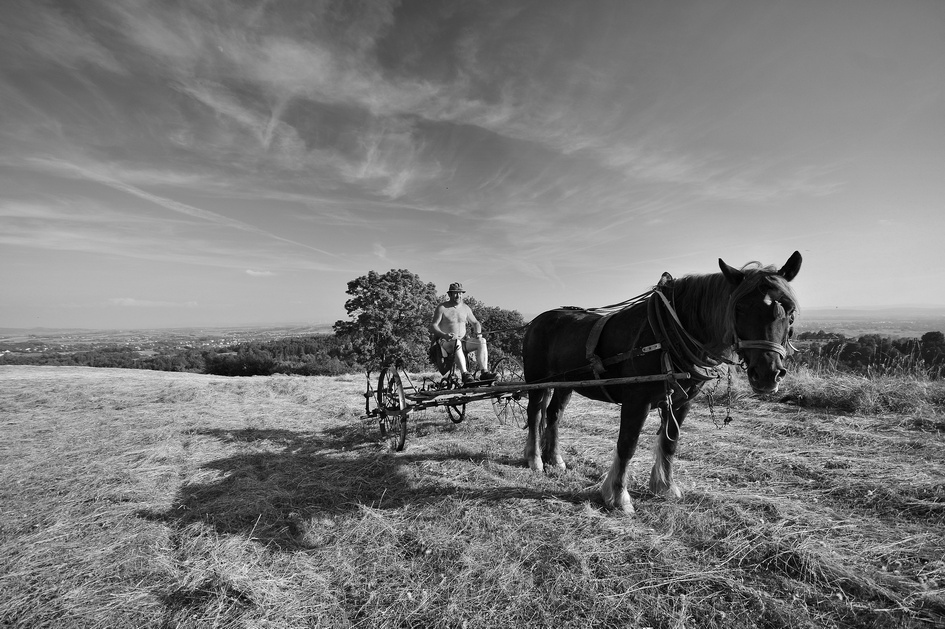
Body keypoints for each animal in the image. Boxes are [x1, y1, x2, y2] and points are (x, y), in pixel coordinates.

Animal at [520, 253, 800, 512]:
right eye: (739, 307)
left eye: (790, 311)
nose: (768, 374)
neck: (670, 333)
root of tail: (537, 320)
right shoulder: (637, 401)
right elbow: (628, 444)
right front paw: (618, 496)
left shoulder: (682, 401)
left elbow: (670, 442)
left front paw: (664, 487)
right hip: (536, 380)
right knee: (535, 414)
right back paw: (535, 460)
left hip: (566, 383)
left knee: (554, 414)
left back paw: (554, 459)